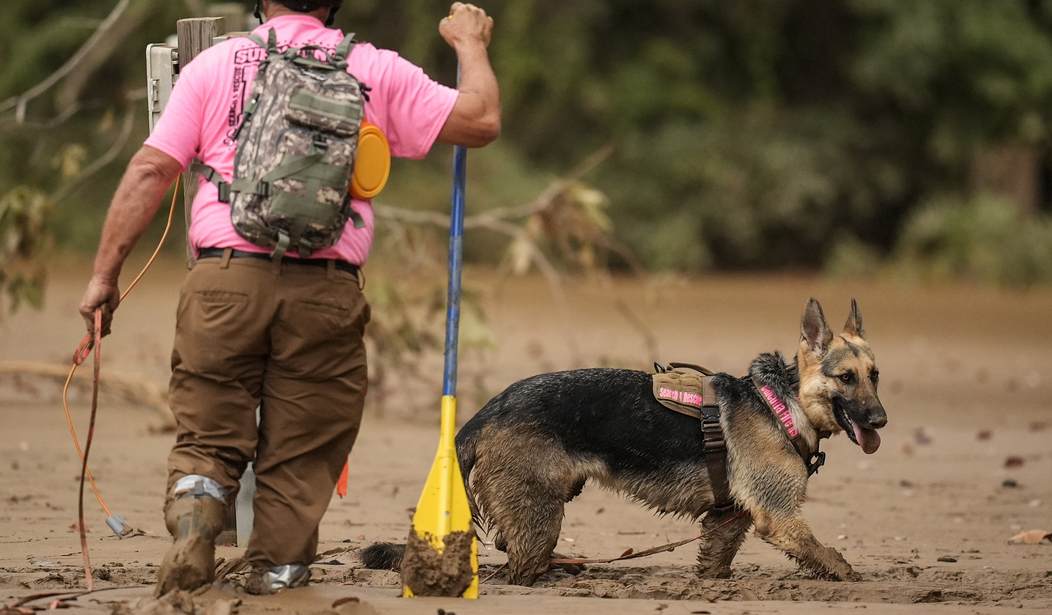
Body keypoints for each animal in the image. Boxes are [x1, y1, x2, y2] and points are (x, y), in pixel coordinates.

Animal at [363, 300, 887, 584]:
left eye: (875, 375)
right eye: (846, 378)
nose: (881, 419)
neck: (782, 402)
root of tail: (485, 411)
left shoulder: (728, 519)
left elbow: (715, 559)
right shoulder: (779, 519)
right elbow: (828, 555)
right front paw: (850, 575)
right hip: (541, 514)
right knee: (517, 567)